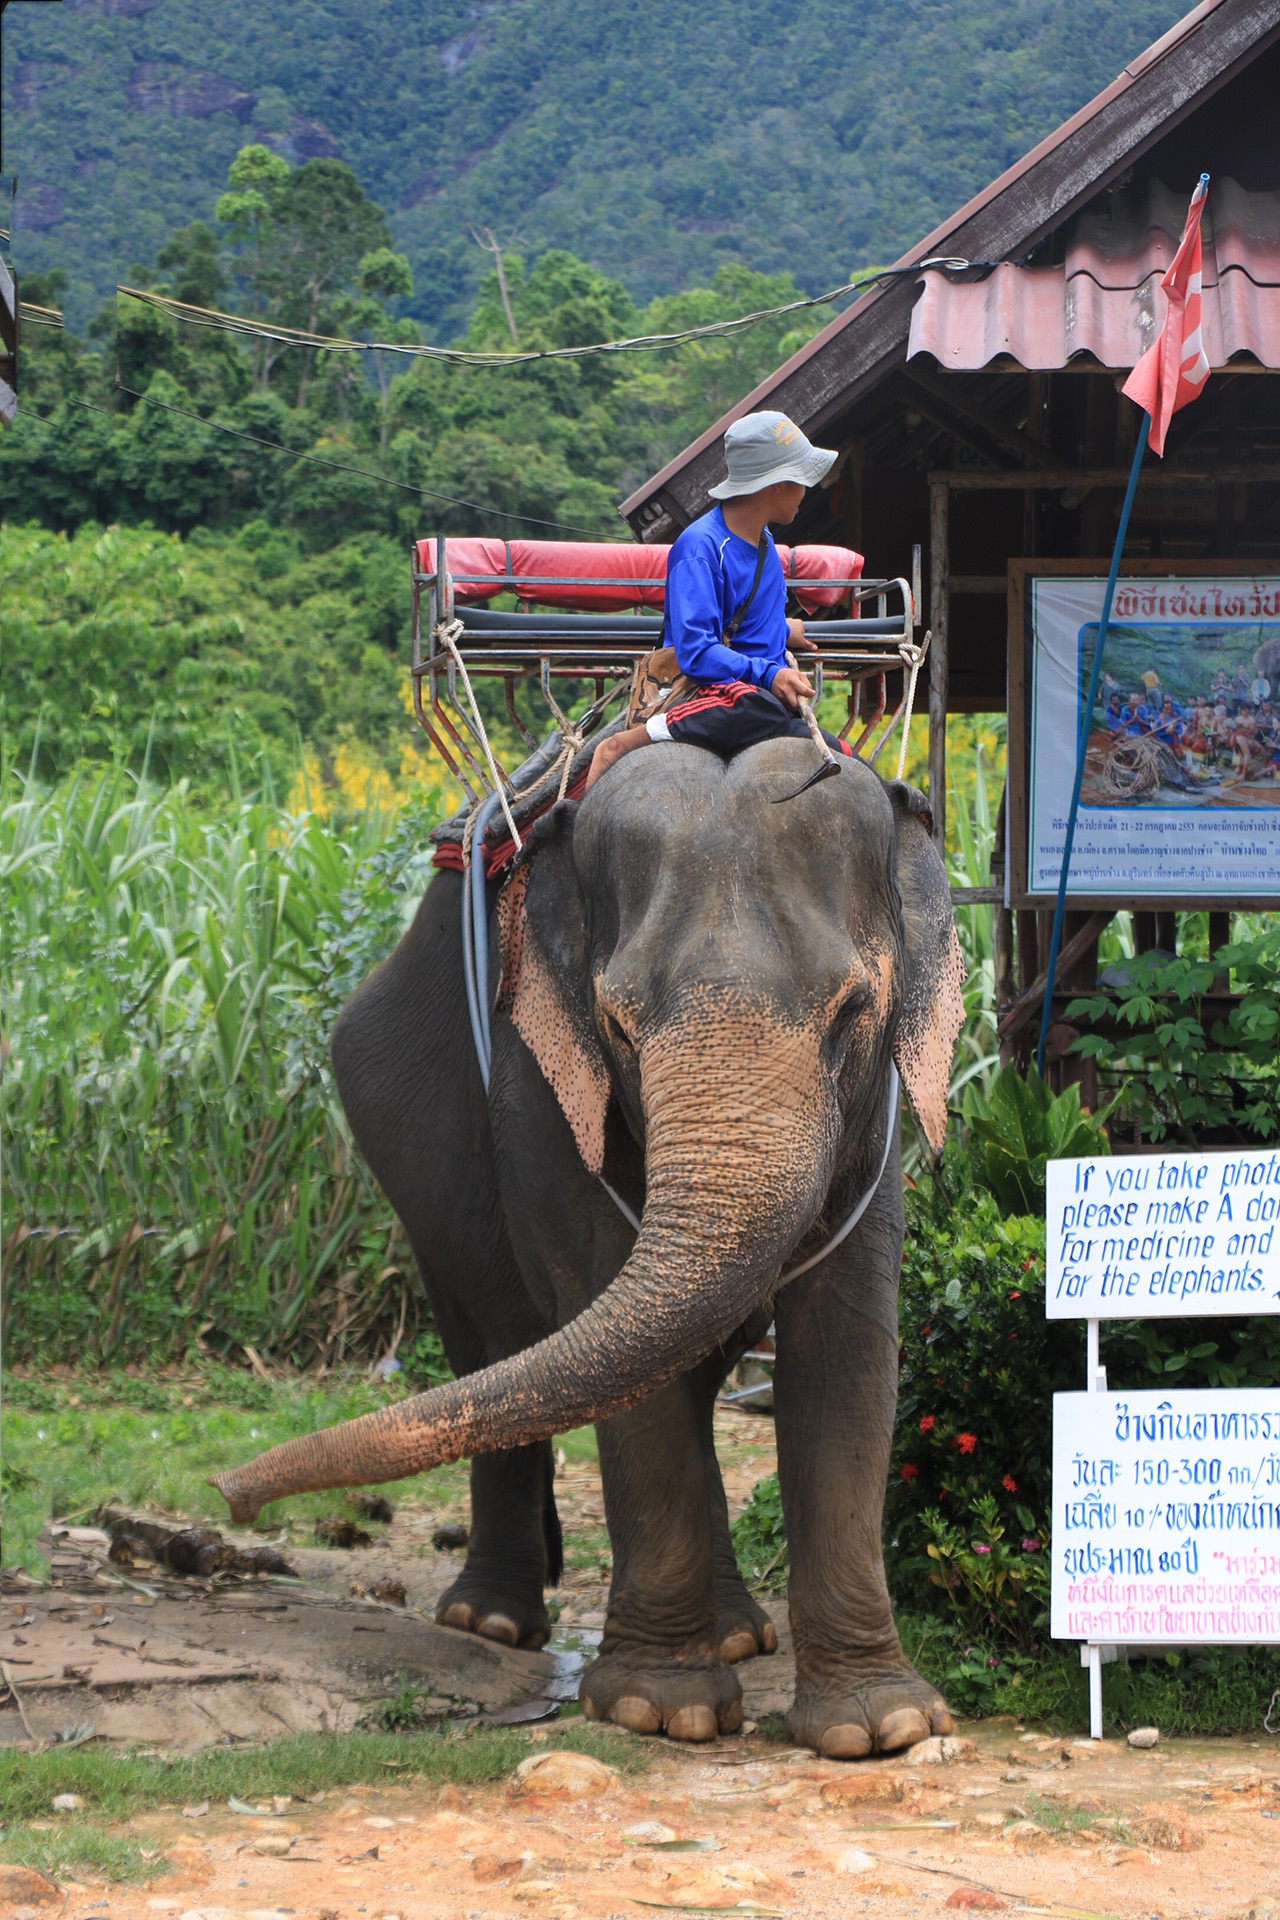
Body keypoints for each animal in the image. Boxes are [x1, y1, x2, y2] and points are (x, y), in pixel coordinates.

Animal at [214, 733, 967, 1758]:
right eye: (616, 1023)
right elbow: (613, 1321)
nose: (230, 1495)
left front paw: (882, 1726)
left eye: (854, 1010)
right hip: (416, 1173)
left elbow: (846, 1348)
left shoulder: (877, 1119)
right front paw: (661, 1711)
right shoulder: (544, 1085)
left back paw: (739, 1634)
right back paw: (493, 1623)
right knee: (493, 1343)